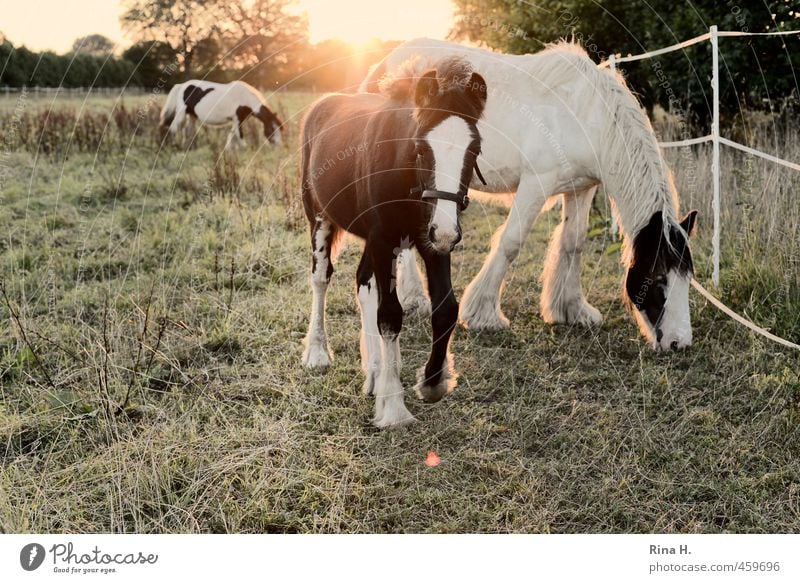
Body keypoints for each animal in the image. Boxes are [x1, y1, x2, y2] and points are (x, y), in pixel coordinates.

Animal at [300, 61, 488, 428]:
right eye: (420, 148)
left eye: (474, 150)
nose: (447, 231)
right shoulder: (385, 238)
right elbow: (390, 315)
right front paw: (394, 408)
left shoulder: (430, 241)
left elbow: (446, 309)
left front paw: (432, 381)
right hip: (319, 217)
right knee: (321, 278)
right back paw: (317, 352)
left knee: (363, 283)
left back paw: (376, 371)